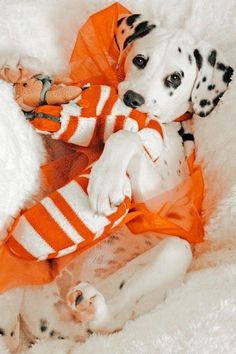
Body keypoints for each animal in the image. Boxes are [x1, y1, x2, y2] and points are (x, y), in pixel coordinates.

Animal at [0, 14, 233, 352]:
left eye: (175, 78)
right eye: (140, 60)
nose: (131, 99)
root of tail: (62, 329)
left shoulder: (160, 201)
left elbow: (126, 137)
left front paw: (106, 181)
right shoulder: (73, 154)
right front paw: (23, 66)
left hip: (174, 253)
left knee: (107, 322)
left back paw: (93, 309)